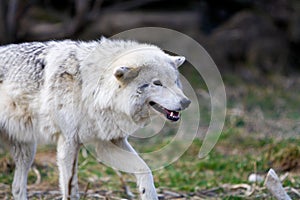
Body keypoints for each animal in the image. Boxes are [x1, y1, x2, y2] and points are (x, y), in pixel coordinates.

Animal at [0, 38, 190, 200]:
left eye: (175, 81)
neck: (93, 91)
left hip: (27, 152)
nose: (186, 102)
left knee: (16, 187)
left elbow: (145, 169)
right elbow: (70, 190)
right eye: (157, 83)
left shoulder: (108, 143)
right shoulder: (68, 143)